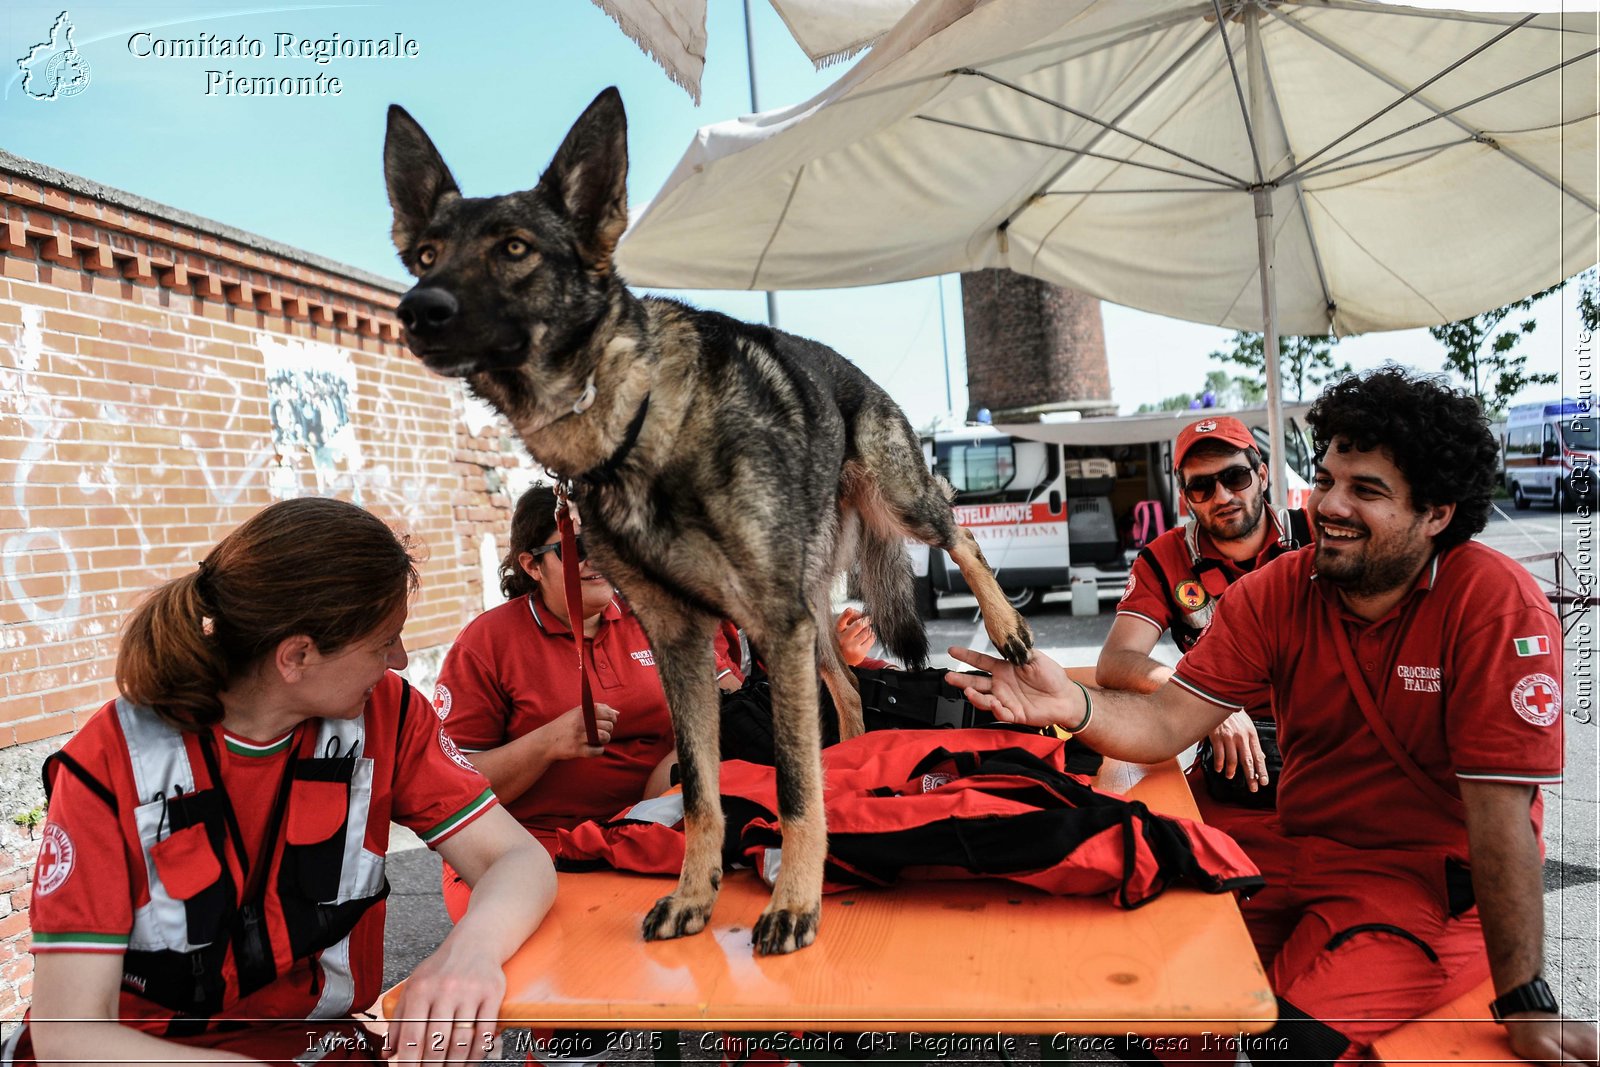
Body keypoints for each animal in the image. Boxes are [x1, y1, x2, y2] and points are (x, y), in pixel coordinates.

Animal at [387, 89, 1036, 959]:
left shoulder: (769, 627)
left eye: (515, 249)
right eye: (426, 254)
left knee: (959, 533)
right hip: (807, 617)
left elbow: (791, 786)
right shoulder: (684, 642)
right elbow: (700, 787)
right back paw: (855, 755)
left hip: (893, 505)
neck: (632, 421)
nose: (416, 309)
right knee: (846, 689)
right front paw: (696, 894)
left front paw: (795, 903)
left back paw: (1006, 629)